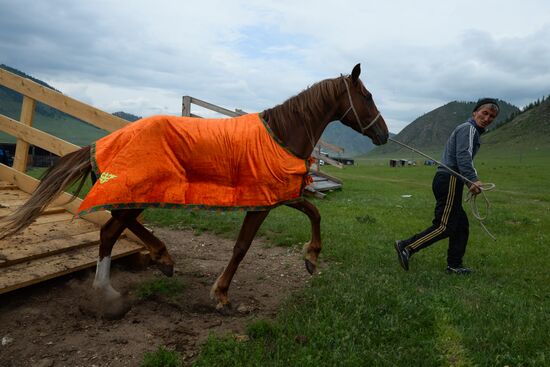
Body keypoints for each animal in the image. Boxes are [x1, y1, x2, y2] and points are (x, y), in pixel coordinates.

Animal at [0, 64, 388, 312]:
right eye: (367, 95)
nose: (383, 134)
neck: (280, 134)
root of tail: (103, 143)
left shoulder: (280, 196)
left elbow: (314, 212)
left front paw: (310, 258)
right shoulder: (261, 203)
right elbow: (243, 247)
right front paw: (222, 296)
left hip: (136, 196)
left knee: (121, 225)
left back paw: (163, 257)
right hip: (134, 195)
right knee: (109, 231)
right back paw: (106, 292)